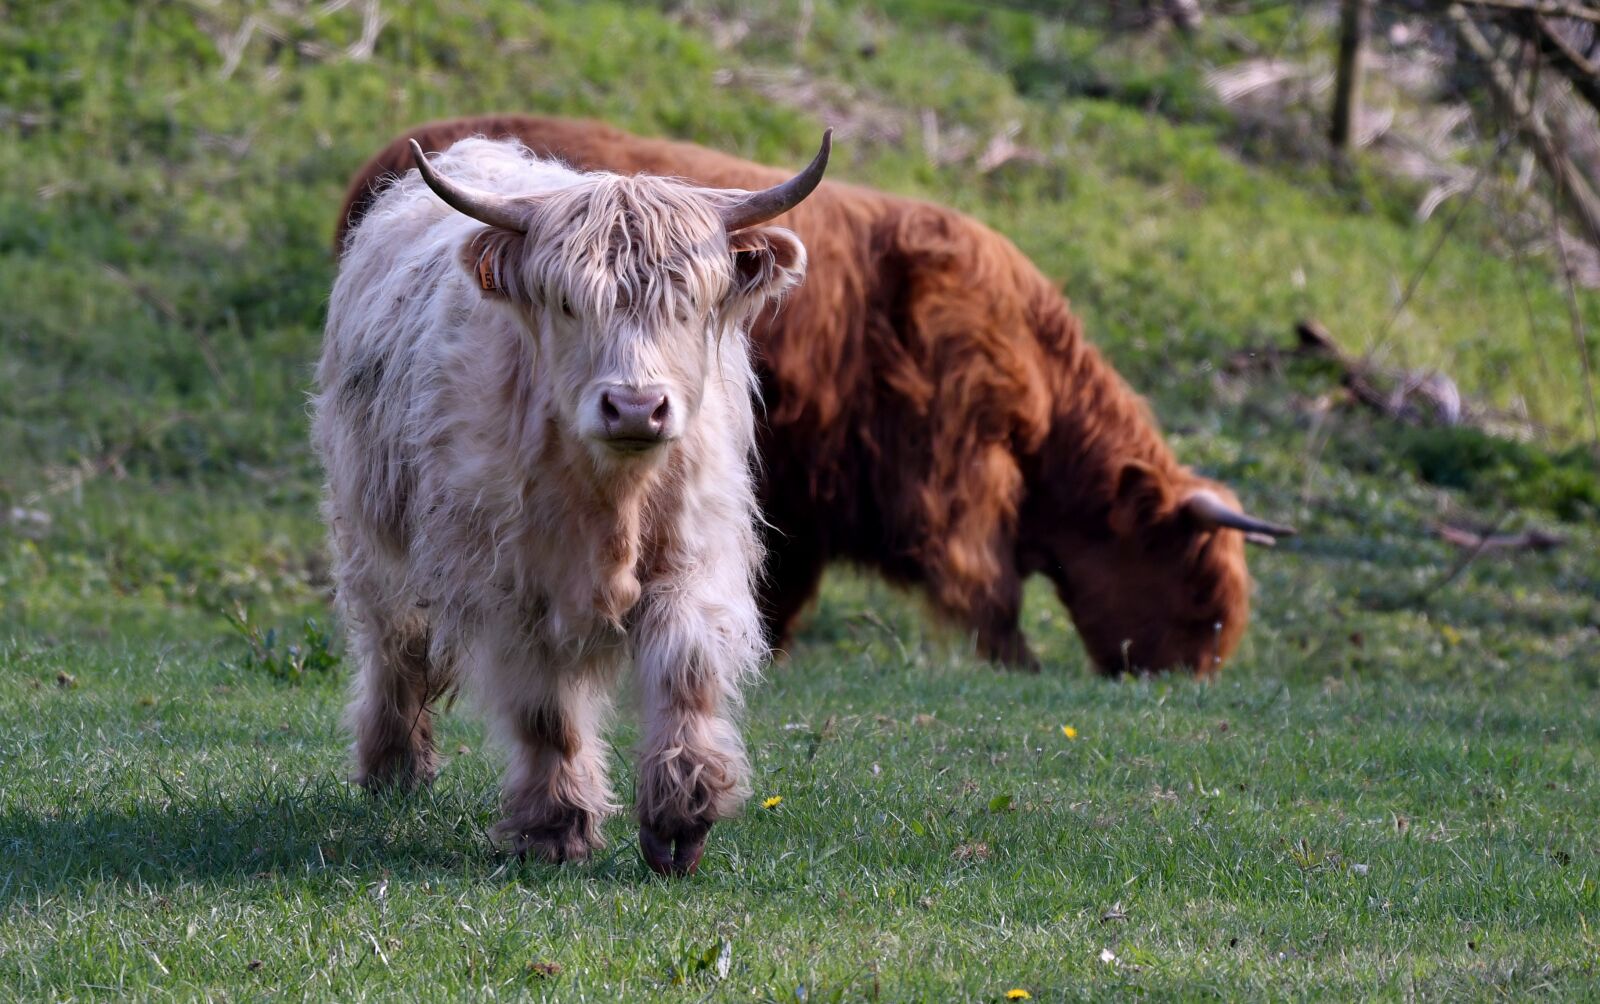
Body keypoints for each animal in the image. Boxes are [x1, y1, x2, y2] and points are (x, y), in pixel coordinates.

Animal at [314, 130, 831, 875]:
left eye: (688, 302)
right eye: (566, 303)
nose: (637, 407)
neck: (614, 496)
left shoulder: (696, 556)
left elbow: (685, 669)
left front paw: (681, 815)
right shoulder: (512, 588)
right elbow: (547, 711)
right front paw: (555, 827)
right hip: (371, 536)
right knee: (394, 648)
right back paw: (393, 768)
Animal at [337, 116, 1294, 678]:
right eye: (1200, 601)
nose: (1189, 678)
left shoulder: (803, 503)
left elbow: (786, 593)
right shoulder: (955, 478)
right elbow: (988, 591)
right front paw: (1014, 664)